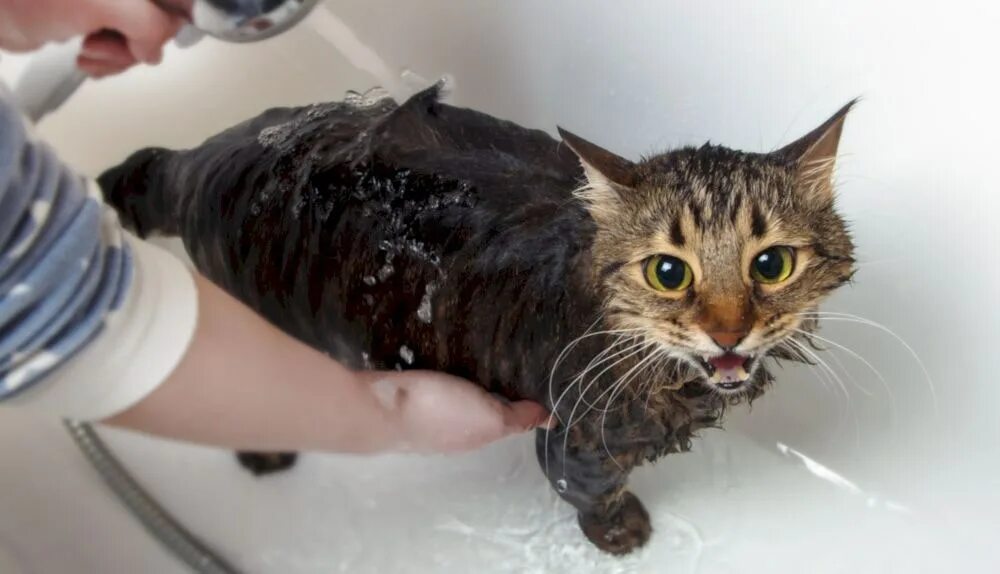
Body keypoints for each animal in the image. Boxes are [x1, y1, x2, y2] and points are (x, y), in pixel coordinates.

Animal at [99, 83, 852, 556]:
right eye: (669, 273)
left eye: (771, 265)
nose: (729, 332)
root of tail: (197, 162)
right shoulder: (577, 438)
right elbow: (594, 494)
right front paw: (622, 533)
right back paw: (265, 452)